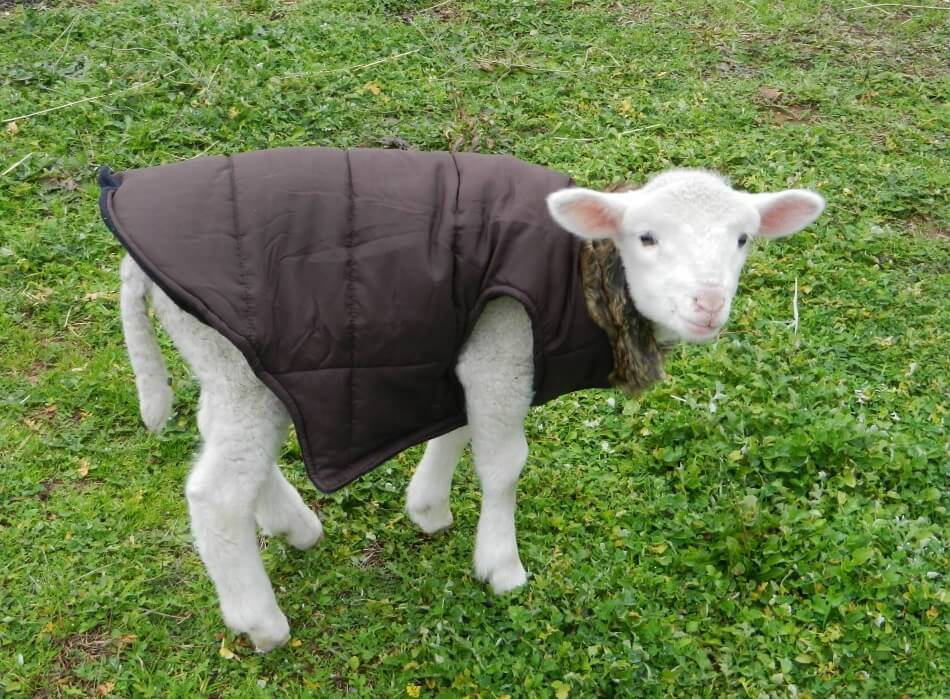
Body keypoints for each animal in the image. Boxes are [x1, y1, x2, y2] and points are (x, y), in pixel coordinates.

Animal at [119, 168, 824, 652]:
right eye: (646, 237)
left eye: (743, 239)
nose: (708, 306)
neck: (583, 266)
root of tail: (133, 262)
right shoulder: (505, 342)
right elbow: (504, 465)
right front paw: (501, 565)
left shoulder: (466, 346)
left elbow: (454, 428)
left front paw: (427, 508)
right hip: (239, 361)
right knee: (214, 493)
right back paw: (260, 620)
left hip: (228, 363)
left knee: (221, 445)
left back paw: (292, 525)